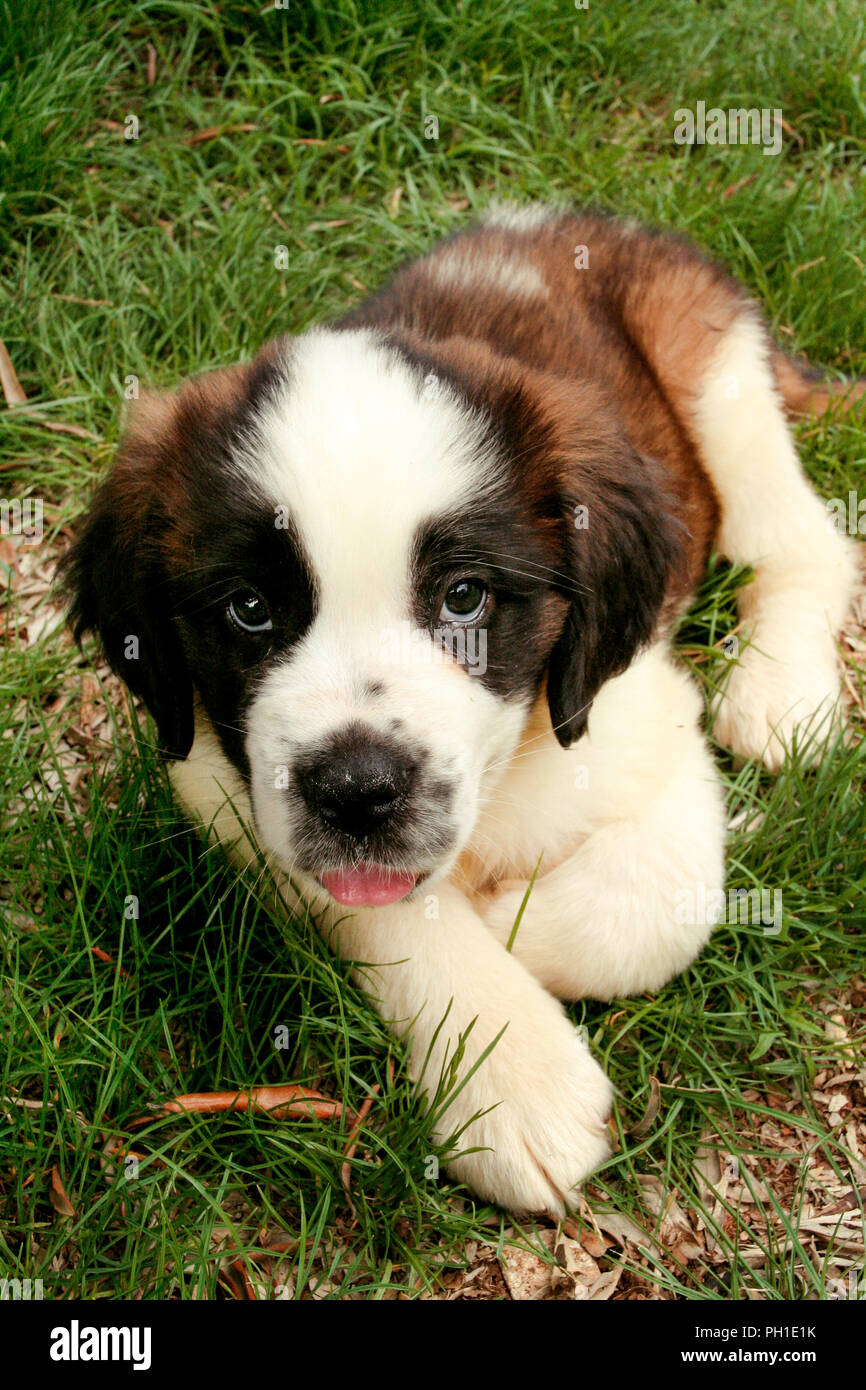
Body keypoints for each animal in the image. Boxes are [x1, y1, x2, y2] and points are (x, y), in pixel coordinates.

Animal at [64, 205, 861, 1217]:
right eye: (248, 609)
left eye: (465, 598)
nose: (356, 791)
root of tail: (571, 221)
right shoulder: (222, 780)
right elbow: (392, 912)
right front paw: (516, 1077)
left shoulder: (643, 723)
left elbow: (653, 902)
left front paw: (513, 929)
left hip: (717, 381)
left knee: (803, 541)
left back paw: (780, 690)